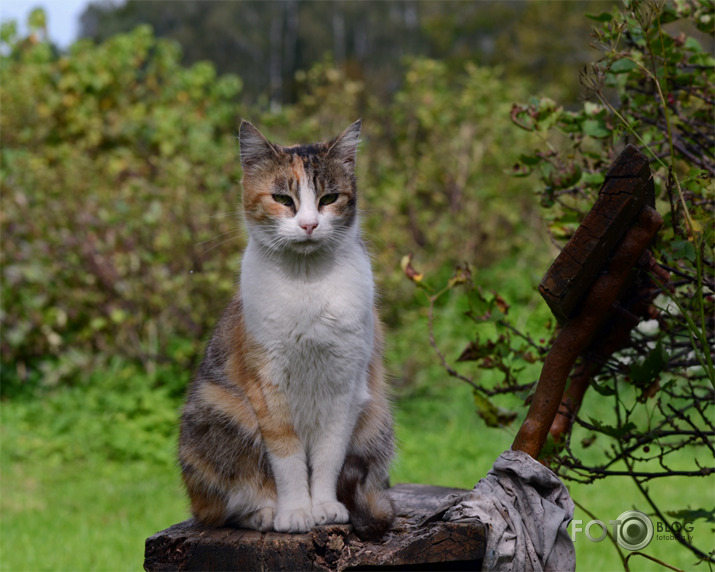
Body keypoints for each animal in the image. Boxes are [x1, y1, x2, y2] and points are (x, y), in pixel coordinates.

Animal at [176, 120, 394, 540]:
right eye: (282, 198)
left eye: (329, 198)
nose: (309, 224)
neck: (306, 284)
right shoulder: (267, 385)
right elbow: (288, 458)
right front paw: (294, 512)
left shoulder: (345, 386)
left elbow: (328, 456)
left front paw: (324, 506)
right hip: (220, 411)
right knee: (223, 506)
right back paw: (264, 513)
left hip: (376, 417)